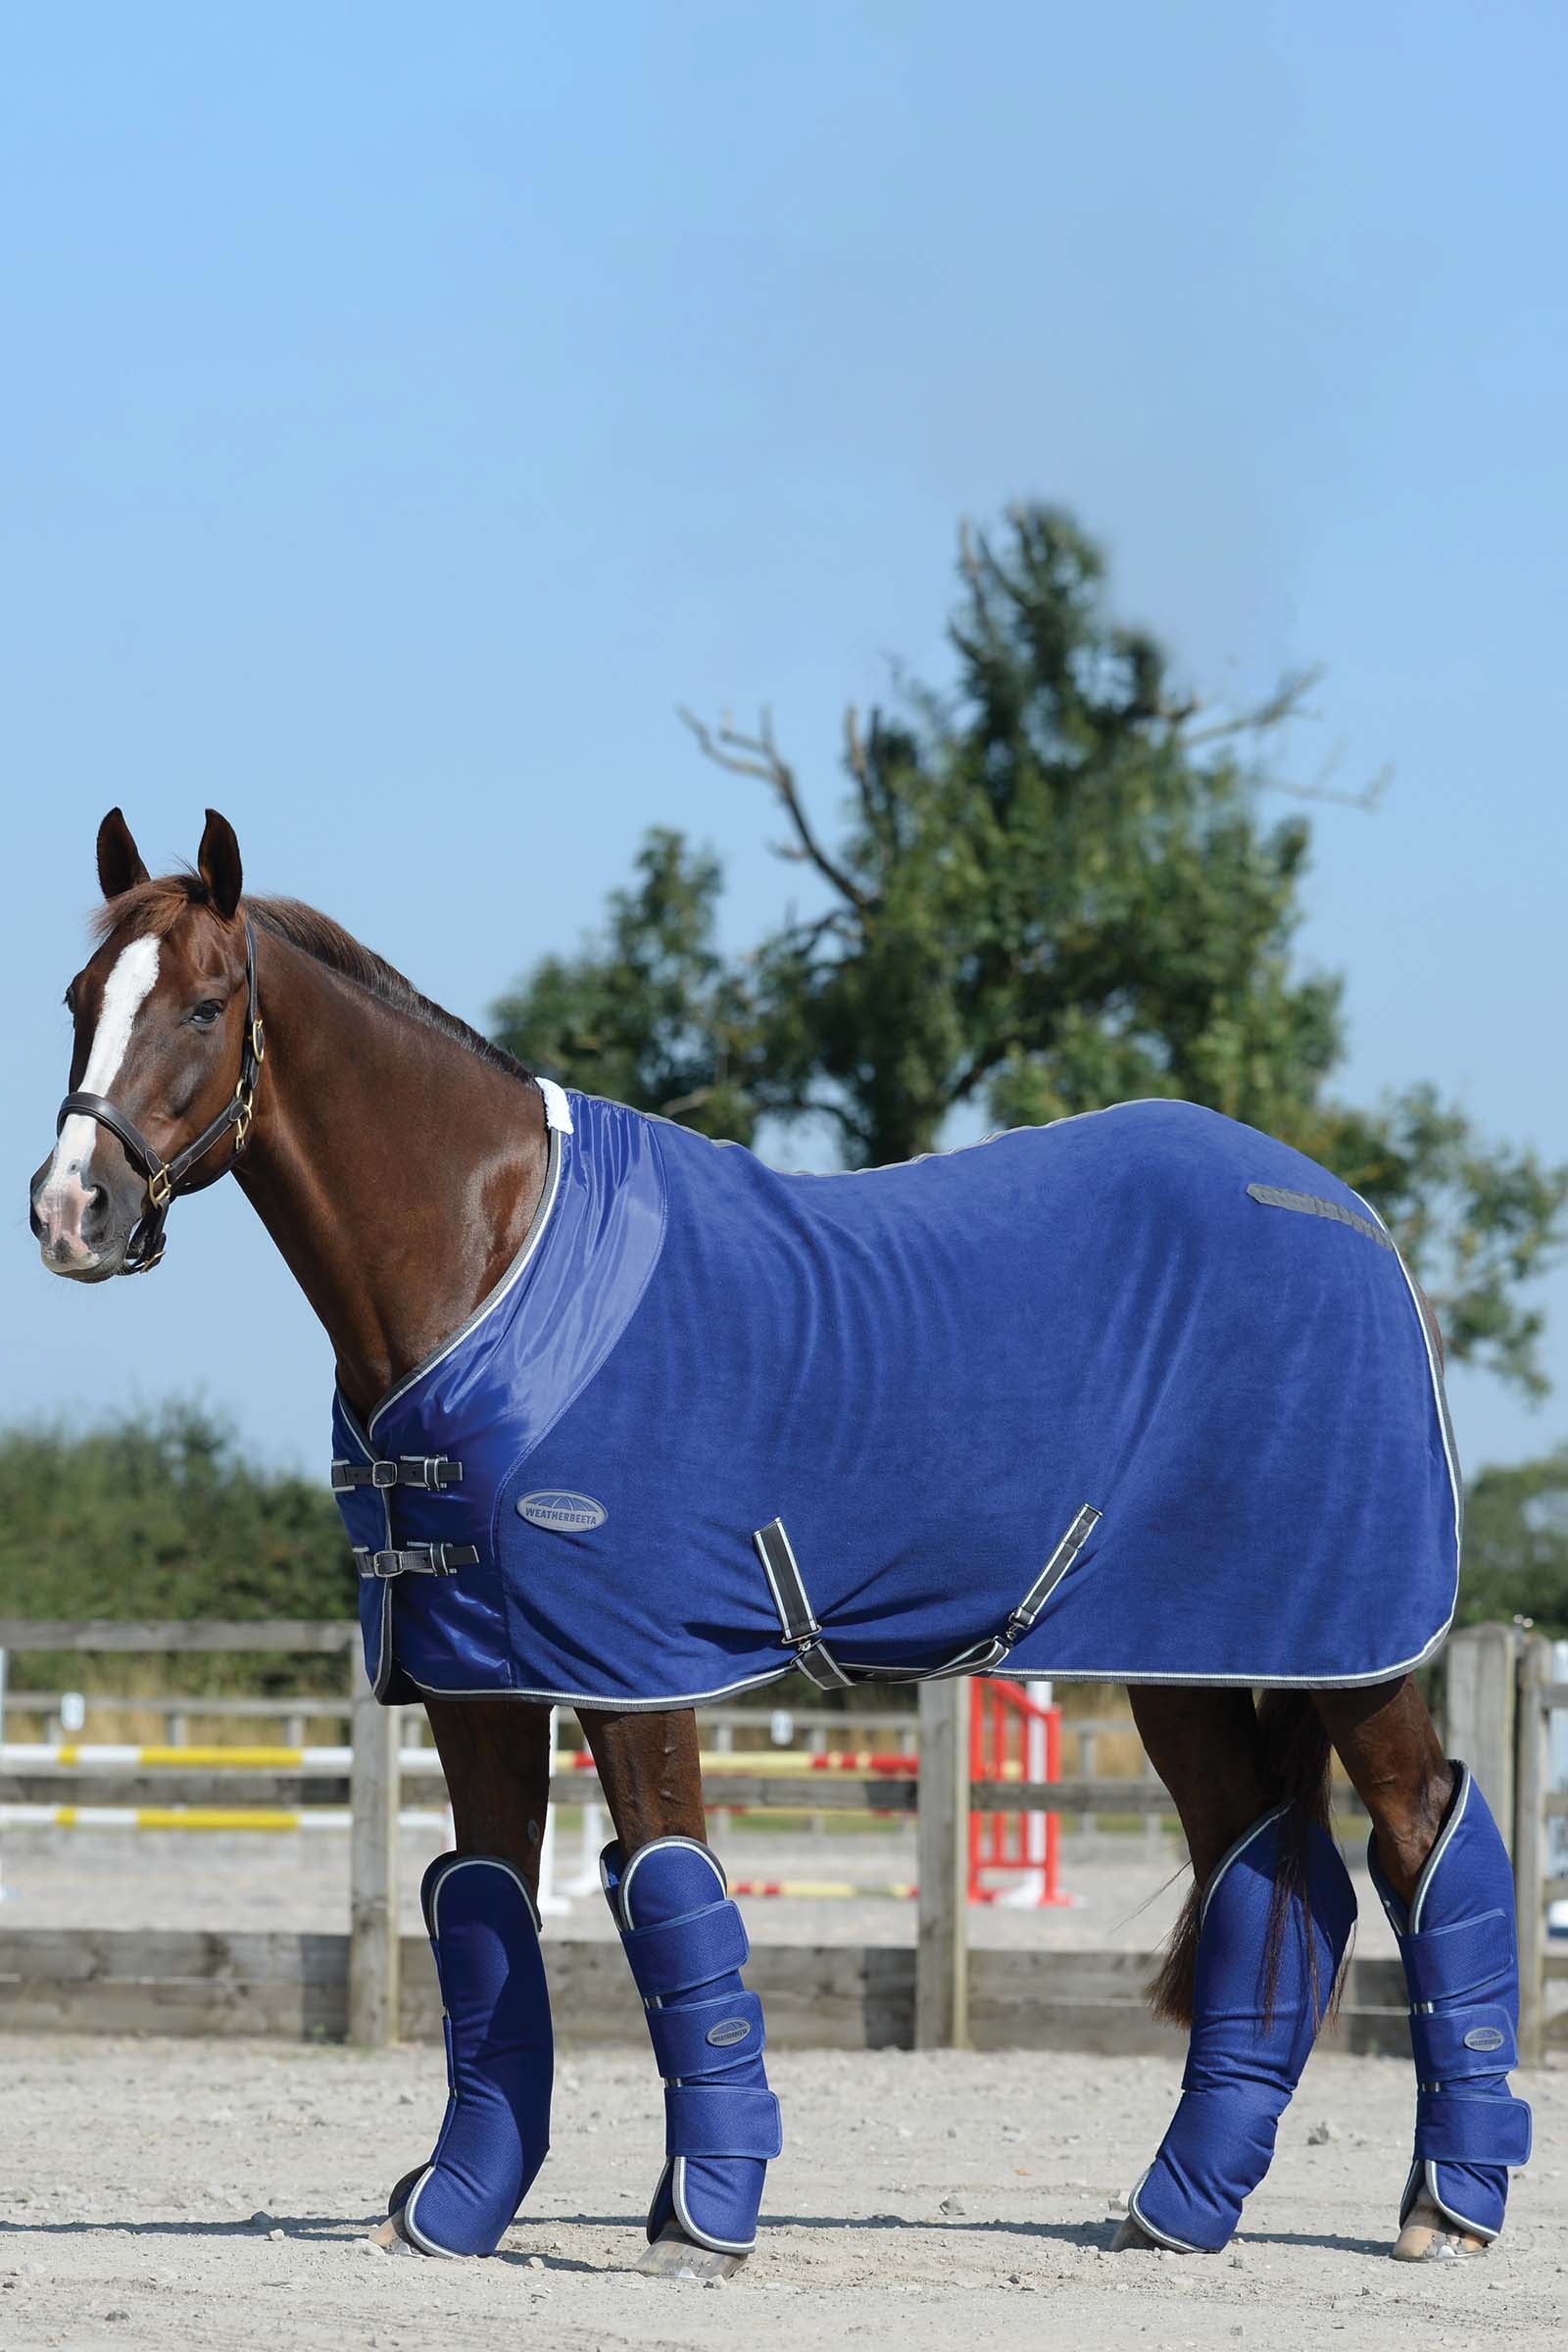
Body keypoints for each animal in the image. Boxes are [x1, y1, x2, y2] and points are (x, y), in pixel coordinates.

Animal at [29, 807, 1531, 2274]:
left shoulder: (633, 1672)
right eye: (81, 997)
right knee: (1264, 1871)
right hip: (1191, 1660)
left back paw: (1446, 2206)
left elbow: (674, 1902)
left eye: (206, 1004)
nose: (68, 1212)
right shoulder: (475, 1676)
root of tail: (1356, 1227)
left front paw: (704, 2219)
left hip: (1354, 1654)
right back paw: (1182, 2209)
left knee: (1422, 1839)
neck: (488, 1257)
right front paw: (455, 2212)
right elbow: (485, 1917)